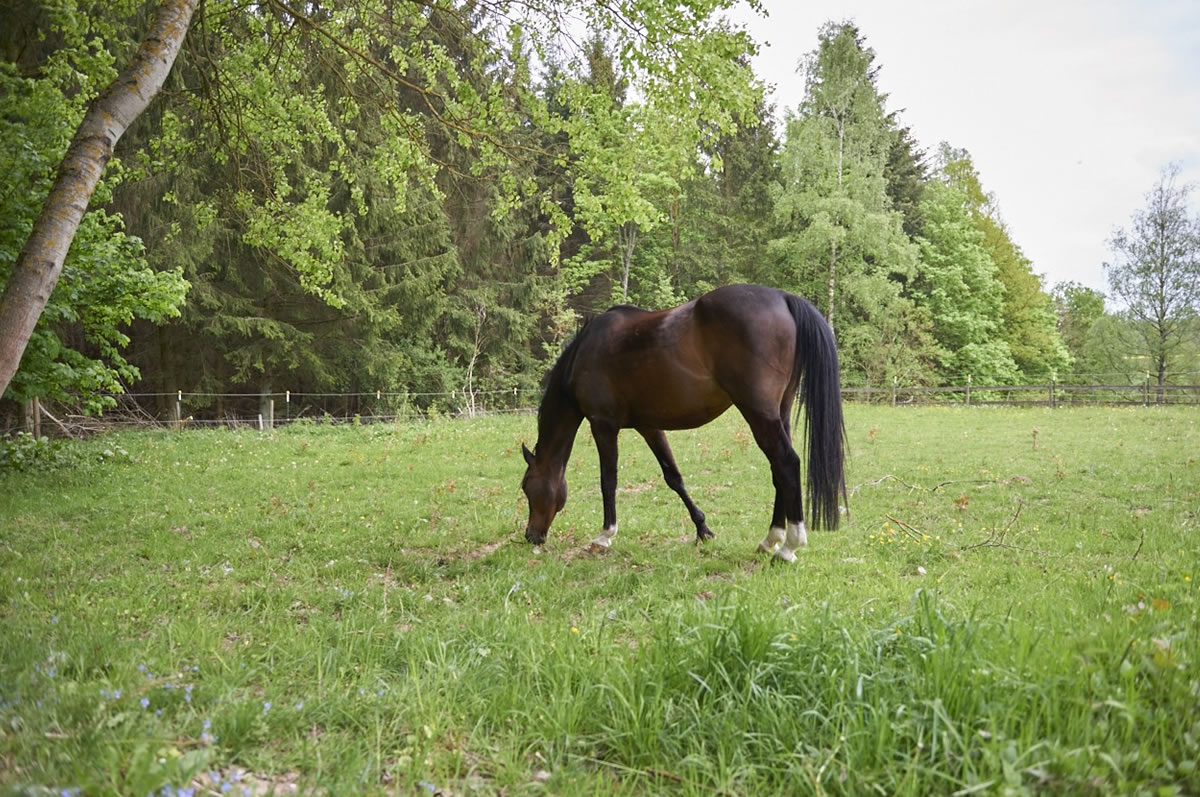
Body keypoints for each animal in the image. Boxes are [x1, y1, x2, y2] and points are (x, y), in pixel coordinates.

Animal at [520, 283, 849, 564]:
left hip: (759, 414)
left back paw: (789, 546)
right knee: (779, 471)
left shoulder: (603, 425)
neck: (585, 354)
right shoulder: (649, 426)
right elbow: (673, 476)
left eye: (526, 487)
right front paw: (702, 529)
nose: (531, 536)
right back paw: (771, 540)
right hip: (779, 412)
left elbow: (608, 480)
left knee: (787, 463)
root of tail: (782, 297)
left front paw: (605, 535)